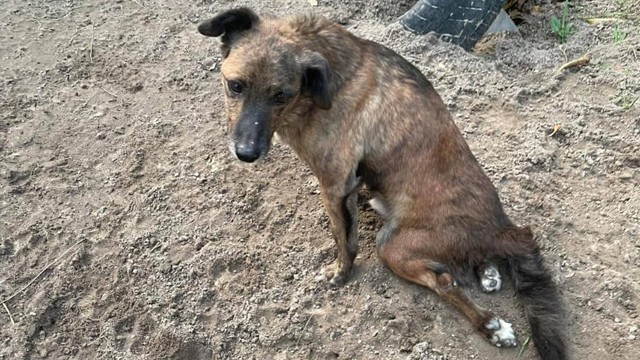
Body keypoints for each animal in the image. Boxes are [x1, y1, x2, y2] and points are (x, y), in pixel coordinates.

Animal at [198, 8, 568, 360]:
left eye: (281, 95)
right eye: (235, 86)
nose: (246, 153)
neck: (321, 80)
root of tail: (503, 228)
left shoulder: (336, 186)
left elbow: (345, 240)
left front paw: (340, 273)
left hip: (392, 245)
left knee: (445, 281)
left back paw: (490, 325)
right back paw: (488, 274)